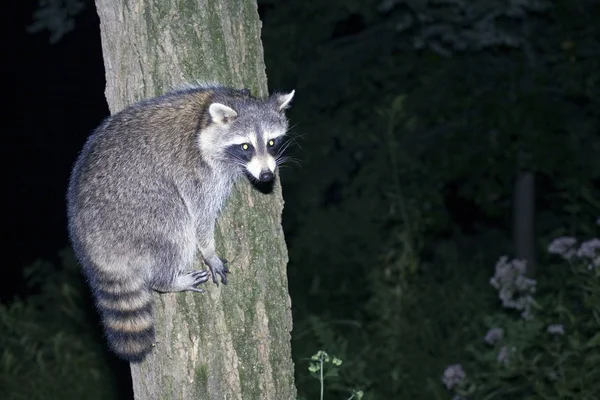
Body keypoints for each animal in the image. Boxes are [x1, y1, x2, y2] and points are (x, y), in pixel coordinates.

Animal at [66, 85, 296, 362]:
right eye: (245, 146)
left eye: (272, 143)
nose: (266, 175)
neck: (205, 116)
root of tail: (90, 246)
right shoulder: (196, 171)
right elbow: (199, 216)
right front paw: (208, 249)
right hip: (138, 212)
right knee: (175, 228)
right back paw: (167, 281)